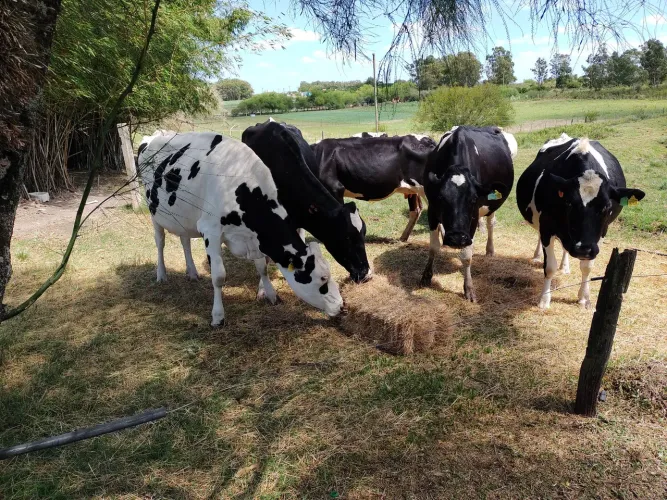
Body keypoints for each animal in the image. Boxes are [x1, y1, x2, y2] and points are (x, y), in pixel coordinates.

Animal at [137, 131, 346, 326]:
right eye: (323, 279)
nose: (342, 306)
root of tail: (154, 135)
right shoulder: (210, 230)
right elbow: (218, 276)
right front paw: (217, 316)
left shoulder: (256, 238)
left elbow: (262, 267)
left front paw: (271, 295)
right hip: (154, 212)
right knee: (160, 242)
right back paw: (162, 275)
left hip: (184, 218)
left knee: (184, 240)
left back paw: (193, 273)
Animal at [420, 126, 517, 302]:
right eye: (441, 198)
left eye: (473, 199)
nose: (456, 238)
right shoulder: (432, 210)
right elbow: (433, 247)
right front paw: (426, 276)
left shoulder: (474, 216)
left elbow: (466, 255)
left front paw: (469, 288)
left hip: (492, 205)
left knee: (490, 223)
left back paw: (489, 249)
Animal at [516, 133, 645, 309]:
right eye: (569, 203)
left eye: (607, 206)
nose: (583, 250)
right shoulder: (547, 227)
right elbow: (549, 267)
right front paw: (544, 300)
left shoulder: (600, 234)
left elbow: (587, 267)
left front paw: (584, 298)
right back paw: (537, 256)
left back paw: (565, 266)